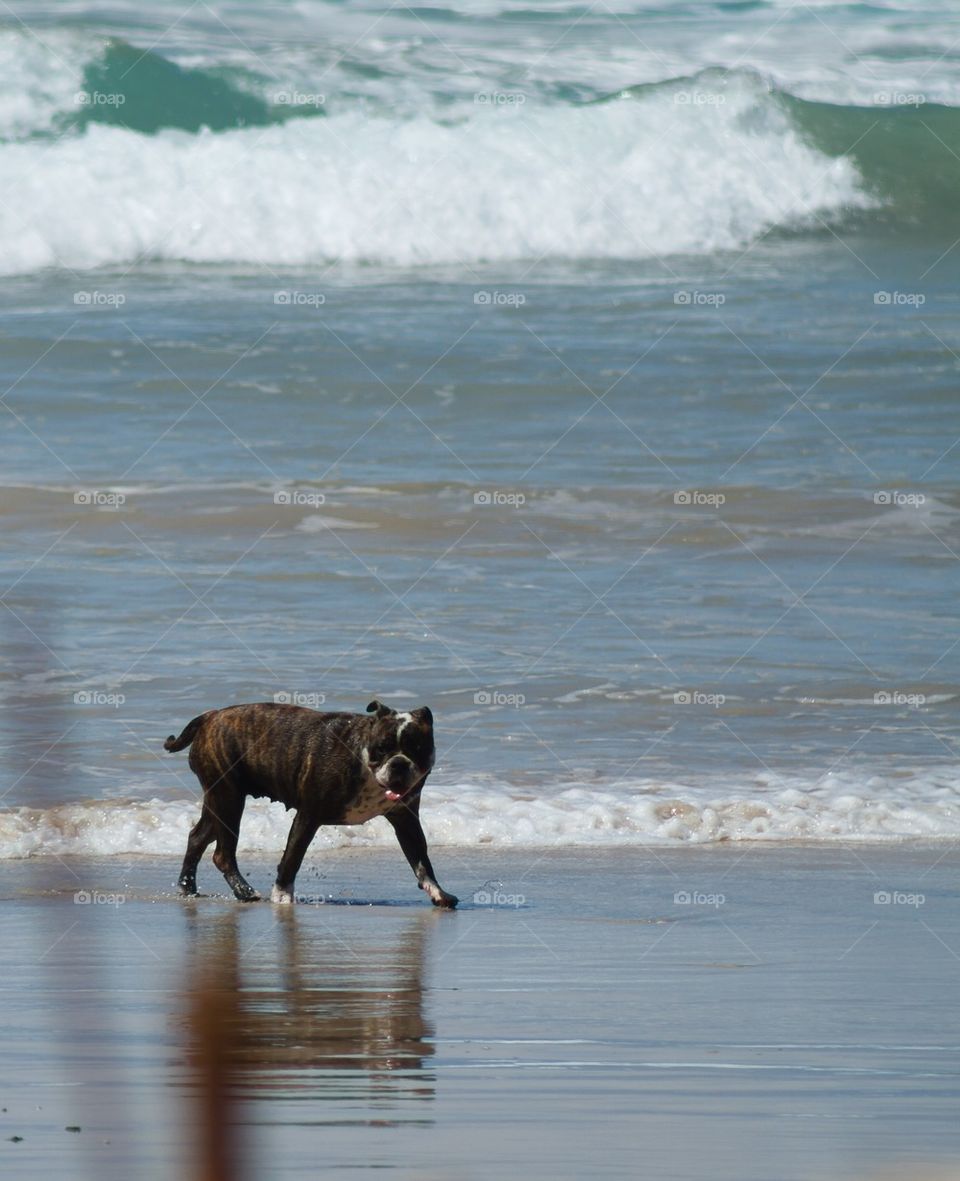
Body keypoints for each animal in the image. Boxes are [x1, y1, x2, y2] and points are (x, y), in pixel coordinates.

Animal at [165, 694, 455, 907]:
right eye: (381, 749)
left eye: (418, 749)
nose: (399, 764)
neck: (361, 756)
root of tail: (210, 716)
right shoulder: (307, 817)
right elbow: (292, 859)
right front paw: (282, 896)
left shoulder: (406, 821)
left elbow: (421, 861)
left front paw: (438, 892)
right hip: (228, 800)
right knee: (222, 854)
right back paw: (244, 892)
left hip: (219, 802)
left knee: (197, 837)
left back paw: (188, 888)